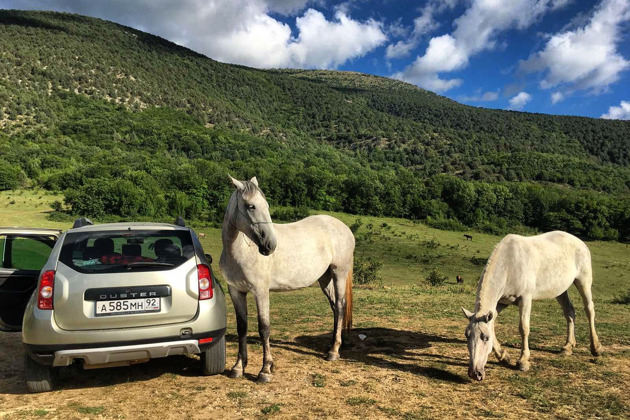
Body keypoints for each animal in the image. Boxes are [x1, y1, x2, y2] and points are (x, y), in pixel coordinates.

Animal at [220, 176, 356, 382]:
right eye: (251, 206)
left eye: (266, 205)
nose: (270, 245)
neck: (241, 252)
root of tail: (344, 228)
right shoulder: (236, 291)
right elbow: (242, 327)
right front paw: (238, 367)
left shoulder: (260, 292)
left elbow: (264, 328)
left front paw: (265, 370)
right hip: (325, 279)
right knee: (335, 307)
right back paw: (333, 345)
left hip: (339, 272)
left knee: (340, 306)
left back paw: (333, 352)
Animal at [462, 230, 604, 380]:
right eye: (467, 335)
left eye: (485, 338)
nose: (474, 373)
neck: (509, 264)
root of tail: (579, 241)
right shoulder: (501, 303)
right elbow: (493, 323)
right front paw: (503, 356)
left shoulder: (525, 299)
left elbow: (523, 328)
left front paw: (523, 361)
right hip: (560, 290)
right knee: (569, 312)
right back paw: (568, 347)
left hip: (583, 281)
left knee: (589, 310)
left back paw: (596, 348)